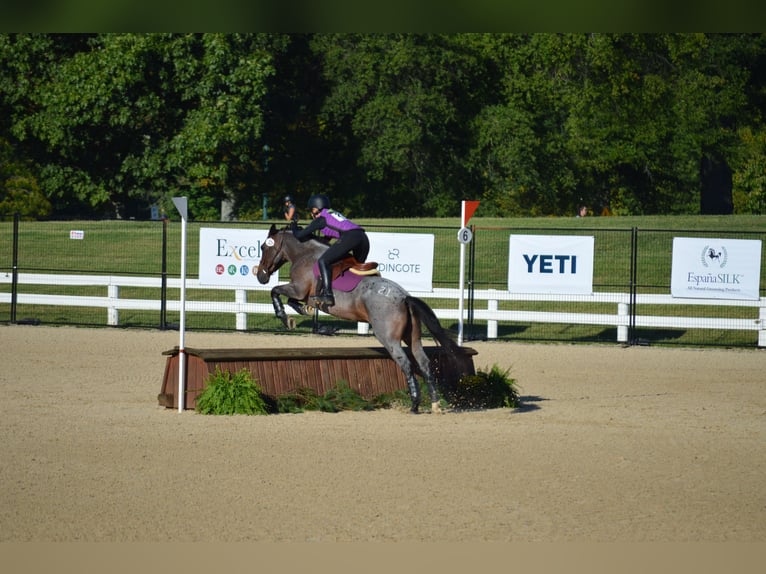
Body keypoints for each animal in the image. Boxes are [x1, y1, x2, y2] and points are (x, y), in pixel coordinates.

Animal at [258, 224, 462, 414]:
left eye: (263, 247)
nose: (260, 276)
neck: (304, 254)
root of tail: (405, 297)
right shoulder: (302, 294)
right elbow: (292, 301)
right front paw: (308, 316)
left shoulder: (298, 289)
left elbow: (275, 291)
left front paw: (285, 317)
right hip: (412, 337)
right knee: (424, 363)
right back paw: (435, 404)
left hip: (388, 338)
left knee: (406, 364)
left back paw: (414, 404)